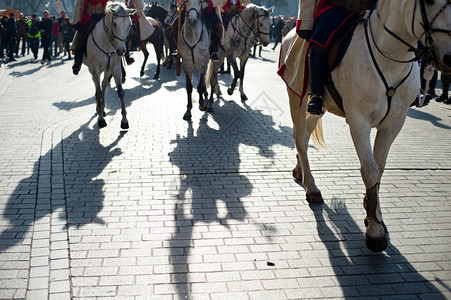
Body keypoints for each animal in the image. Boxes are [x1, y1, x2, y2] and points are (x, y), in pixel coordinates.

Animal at [280, 0, 450, 252]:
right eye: (428, 2)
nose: (449, 58)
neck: (389, 58)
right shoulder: (359, 121)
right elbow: (369, 169)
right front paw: (375, 230)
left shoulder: (394, 123)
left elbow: (379, 168)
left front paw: (372, 209)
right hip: (297, 96)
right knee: (300, 136)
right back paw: (311, 187)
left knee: (306, 134)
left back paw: (300, 169)